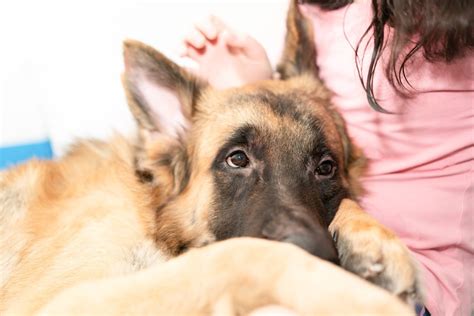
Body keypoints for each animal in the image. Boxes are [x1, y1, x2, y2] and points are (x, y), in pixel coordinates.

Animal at [0, 1, 422, 314]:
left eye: (325, 167)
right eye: (237, 159)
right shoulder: (68, 300)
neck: (152, 214)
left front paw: (373, 239)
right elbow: (245, 255)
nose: (322, 251)